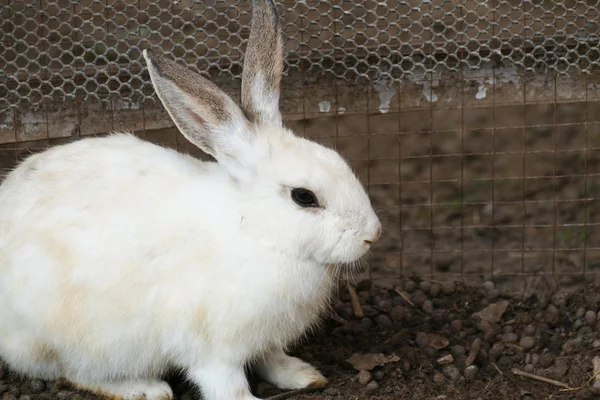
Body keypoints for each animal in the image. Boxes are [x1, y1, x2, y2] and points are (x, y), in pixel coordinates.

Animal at [0, 0, 382, 400]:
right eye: (304, 197)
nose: (373, 234)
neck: (256, 231)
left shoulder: (264, 339)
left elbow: (272, 358)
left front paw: (302, 376)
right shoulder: (211, 349)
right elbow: (226, 383)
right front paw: (250, 397)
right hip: (77, 340)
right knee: (73, 372)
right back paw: (146, 389)